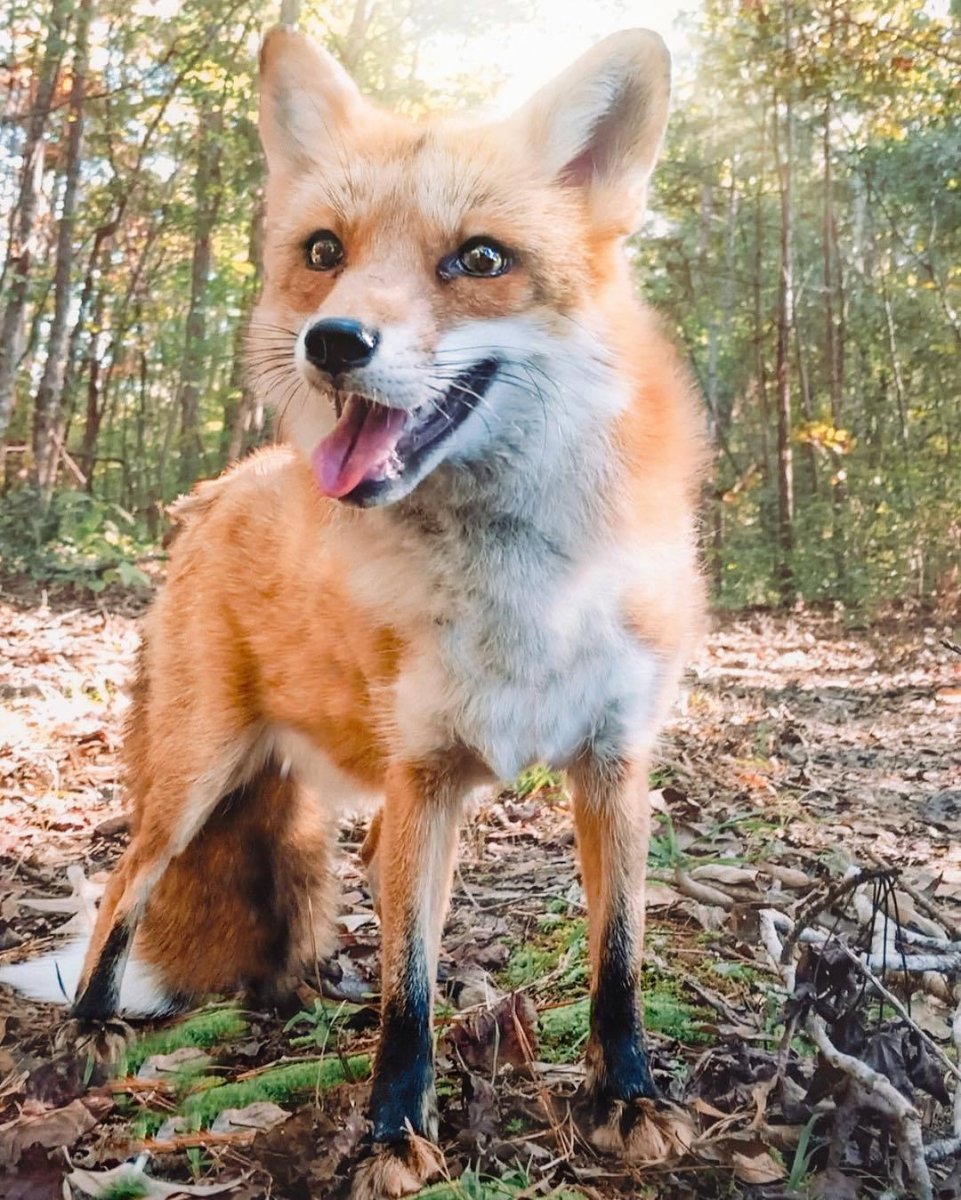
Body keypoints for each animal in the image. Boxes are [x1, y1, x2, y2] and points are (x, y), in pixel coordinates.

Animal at [1, 24, 706, 1199]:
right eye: (325, 250)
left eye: (479, 260)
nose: (333, 343)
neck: (524, 586)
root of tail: (217, 490)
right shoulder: (424, 776)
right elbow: (409, 992)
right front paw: (389, 1134)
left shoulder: (612, 765)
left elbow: (617, 963)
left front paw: (626, 1096)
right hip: (195, 781)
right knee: (123, 891)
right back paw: (92, 1032)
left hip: (318, 801)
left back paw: (291, 992)